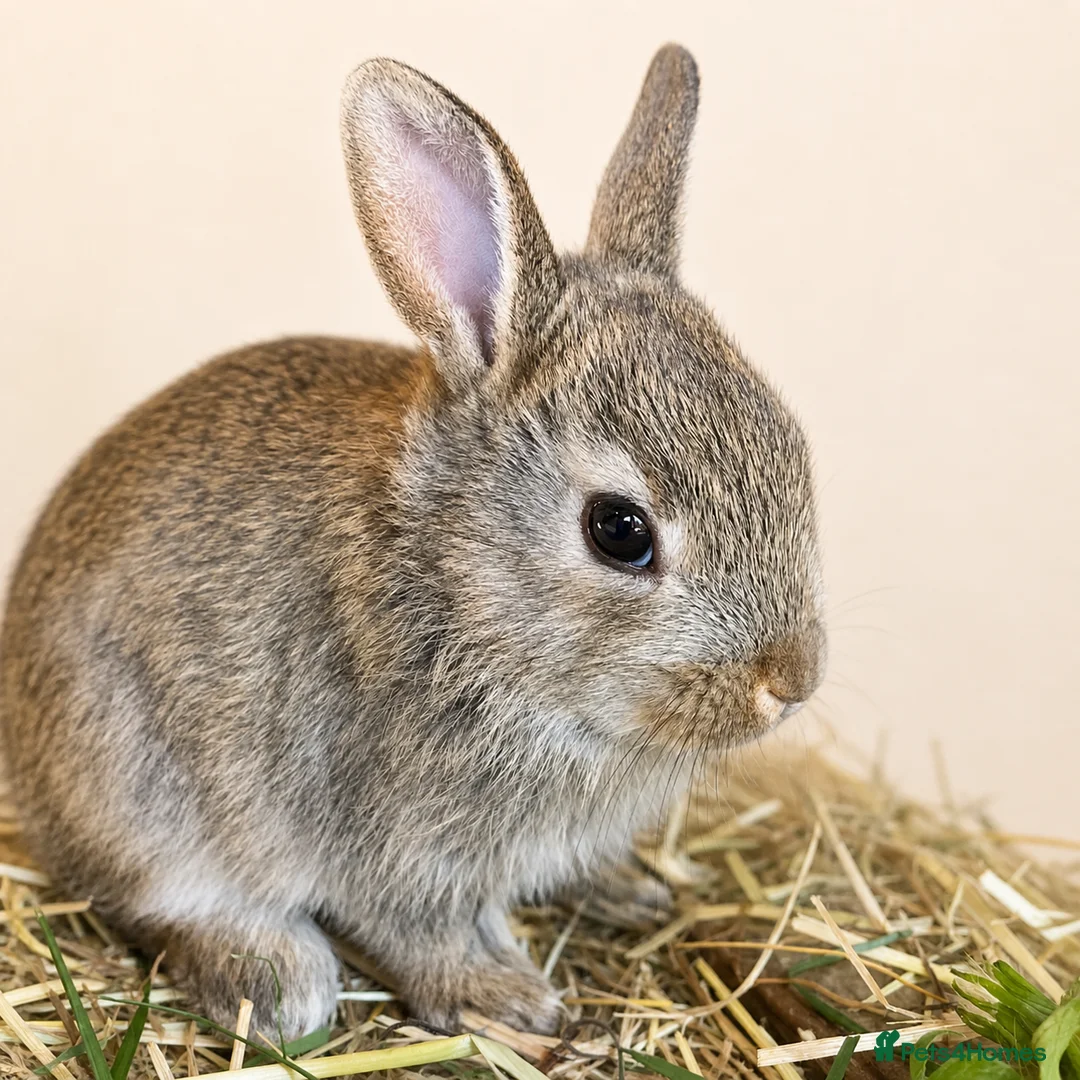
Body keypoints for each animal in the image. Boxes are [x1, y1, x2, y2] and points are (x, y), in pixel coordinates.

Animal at [0, 44, 826, 1038]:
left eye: (794, 447)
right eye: (620, 532)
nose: (792, 680)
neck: (460, 586)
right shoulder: (393, 842)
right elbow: (417, 934)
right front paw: (506, 998)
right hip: (138, 792)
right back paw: (277, 978)